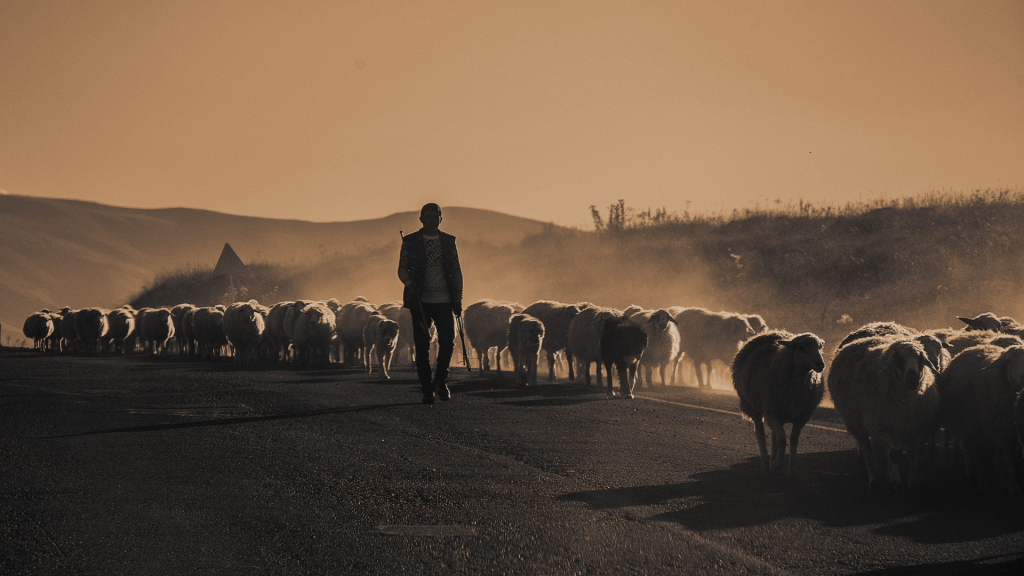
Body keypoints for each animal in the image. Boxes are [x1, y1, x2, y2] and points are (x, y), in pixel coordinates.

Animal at [733, 330, 827, 473]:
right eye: (801, 348)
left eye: (819, 347)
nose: (820, 364)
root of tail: (771, 332)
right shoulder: (771, 414)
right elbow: (782, 439)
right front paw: (778, 464)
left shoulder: (801, 417)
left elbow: (793, 440)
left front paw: (791, 467)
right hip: (751, 406)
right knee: (760, 433)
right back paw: (766, 462)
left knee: (773, 436)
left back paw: (773, 458)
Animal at [827, 336, 937, 487]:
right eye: (898, 360)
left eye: (921, 359)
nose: (913, 380)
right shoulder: (881, 429)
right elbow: (894, 454)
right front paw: (896, 481)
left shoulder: (914, 428)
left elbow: (912, 453)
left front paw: (912, 480)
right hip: (856, 424)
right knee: (867, 450)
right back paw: (874, 478)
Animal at [937, 342, 1024, 496]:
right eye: (1009, 362)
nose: (1022, 377)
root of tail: (975, 346)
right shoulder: (991, 430)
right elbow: (1006, 456)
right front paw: (1011, 486)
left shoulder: (1013, 431)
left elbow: (1006, 457)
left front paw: (1004, 482)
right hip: (966, 422)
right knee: (971, 448)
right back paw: (974, 473)